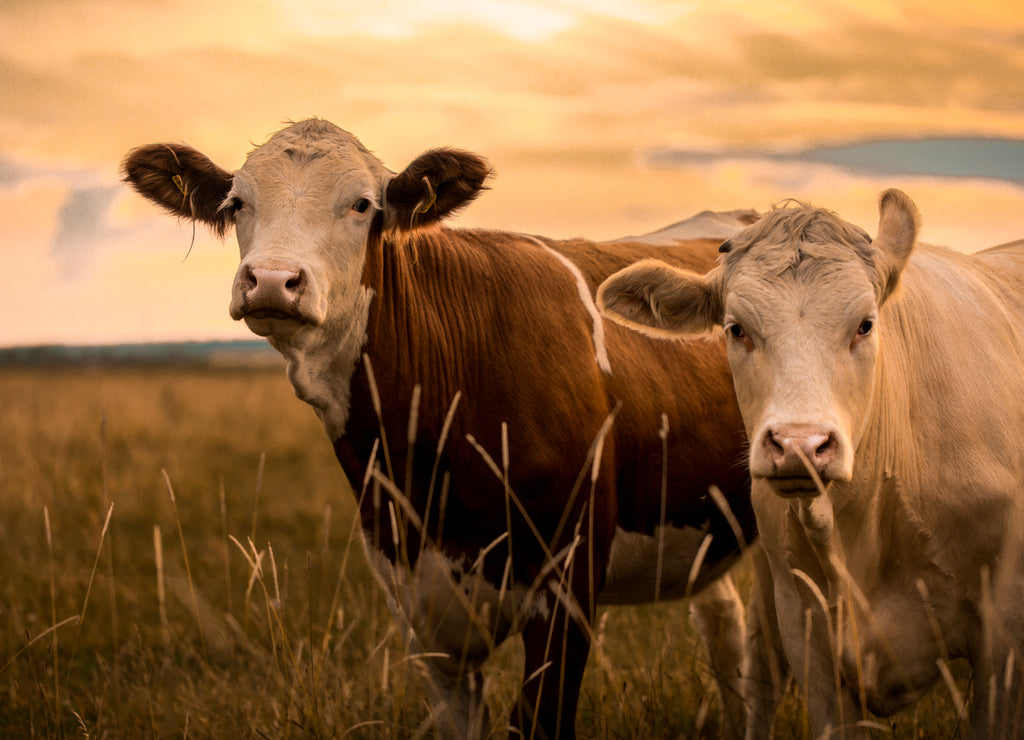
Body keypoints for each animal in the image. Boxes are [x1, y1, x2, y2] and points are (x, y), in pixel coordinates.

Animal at [122, 118, 764, 740]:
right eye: (237, 203)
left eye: (362, 204)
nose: (273, 280)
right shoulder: (419, 605)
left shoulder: (567, 587)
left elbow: (538, 722)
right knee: (726, 628)